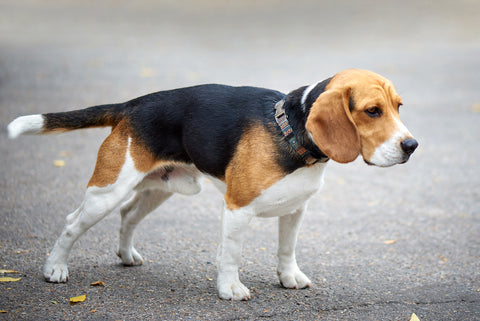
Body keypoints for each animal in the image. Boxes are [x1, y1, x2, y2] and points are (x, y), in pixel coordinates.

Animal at [7, 68, 416, 300]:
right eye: (372, 111)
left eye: (398, 106)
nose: (411, 146)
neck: (291, 131)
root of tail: (131, 105)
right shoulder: (237, 208)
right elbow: (231, 255)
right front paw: (230, 289)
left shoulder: (295, 209)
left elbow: (287, 250)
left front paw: (289, 278)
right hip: (107, 191)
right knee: (72, 223)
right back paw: (54, 268)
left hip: (158, 189)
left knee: (128, 216)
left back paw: (125, 255)